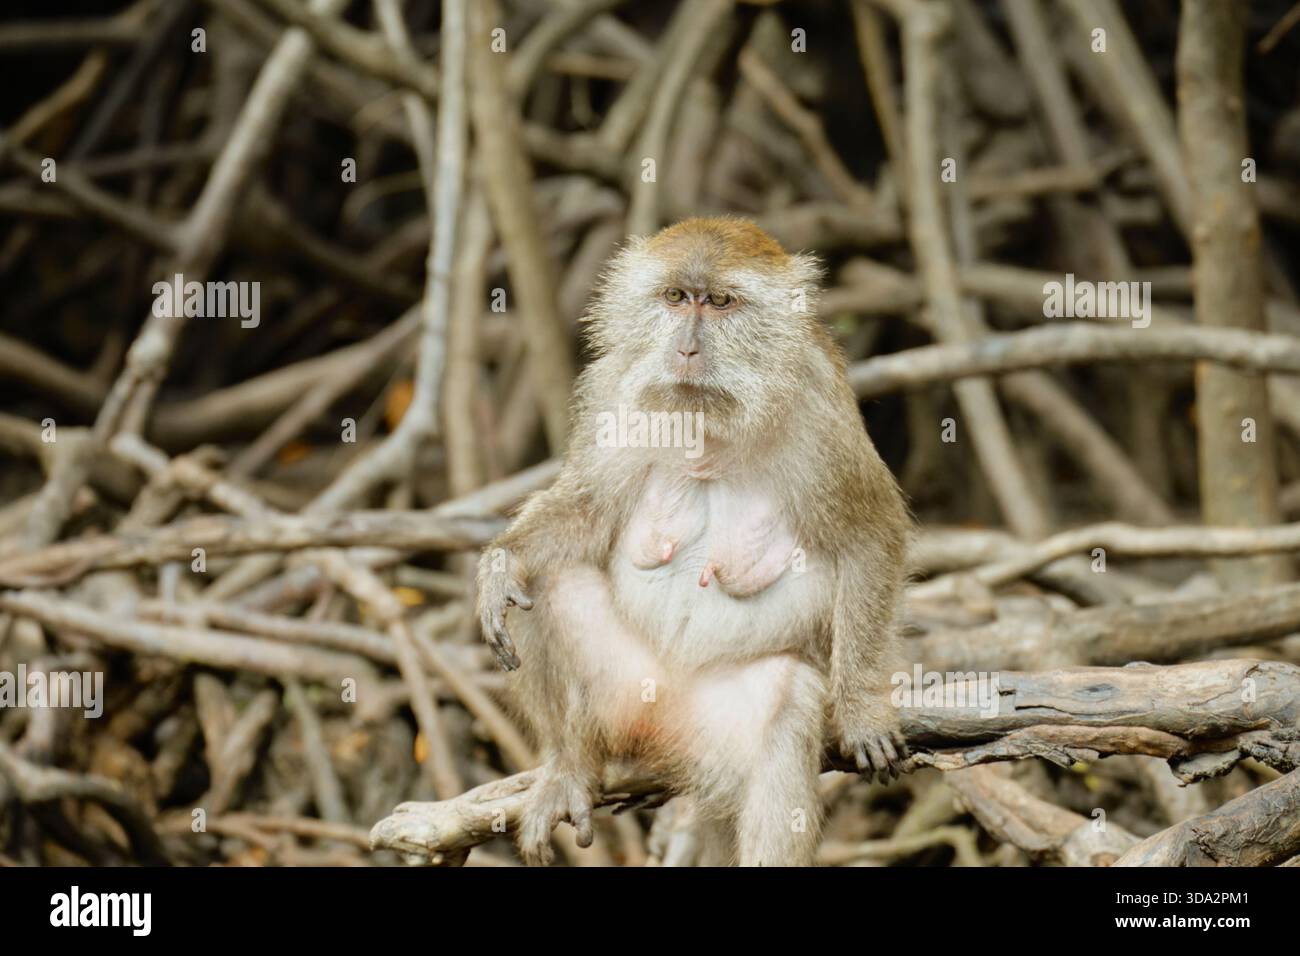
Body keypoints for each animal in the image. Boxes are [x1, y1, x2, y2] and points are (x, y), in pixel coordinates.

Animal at [476, 217, 910, 866]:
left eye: (721, 302)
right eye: (678, 298)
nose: (685, 348)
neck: (708, 423)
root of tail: (661, 719)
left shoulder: (821, 410)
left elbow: (870, 536)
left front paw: (860, 709)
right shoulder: (611, 391)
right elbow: (584, 512)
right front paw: (500, 566)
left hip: (716, 724)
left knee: (785, 710)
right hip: (619, 690)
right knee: (545, 580)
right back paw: (569, 765)